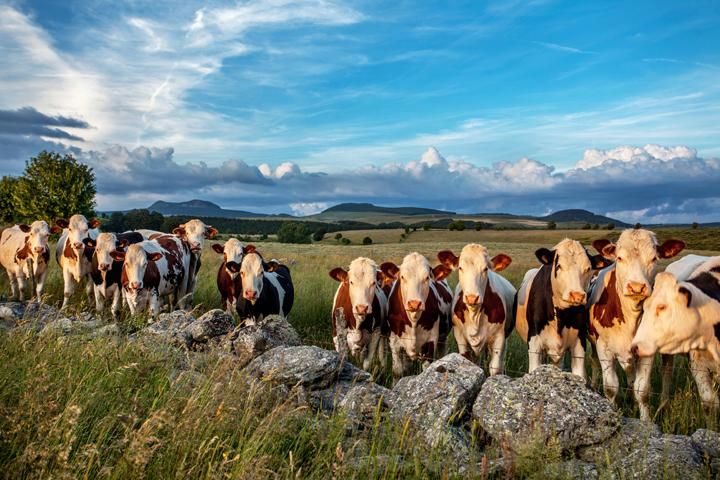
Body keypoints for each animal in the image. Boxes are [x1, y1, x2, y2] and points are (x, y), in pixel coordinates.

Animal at [436, 244, 516, 376]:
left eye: (485, 269)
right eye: (460, 268)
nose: (472, 298)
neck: (475, 315)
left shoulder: (499, 337)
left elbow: (495, 367)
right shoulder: (460, 336)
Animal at [516, 238, 612, 380]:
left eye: (588, 268)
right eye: (558, 266)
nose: (577, 295)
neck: (561, 315)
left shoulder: (579, 344)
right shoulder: (534, 344)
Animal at [588, 229, 684, 420]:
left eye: (654, 258)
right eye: (619, 258)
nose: (637, 287)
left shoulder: (647, 350)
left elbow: (643, 390)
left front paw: (645, 420)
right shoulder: (603, 347)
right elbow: (610, 387)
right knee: (595, 361)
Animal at [632, 264, 720, 410]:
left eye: (662, 306)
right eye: (644, 307)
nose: (634, 347)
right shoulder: (698, 366)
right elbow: (709, 402)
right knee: (666, 373)